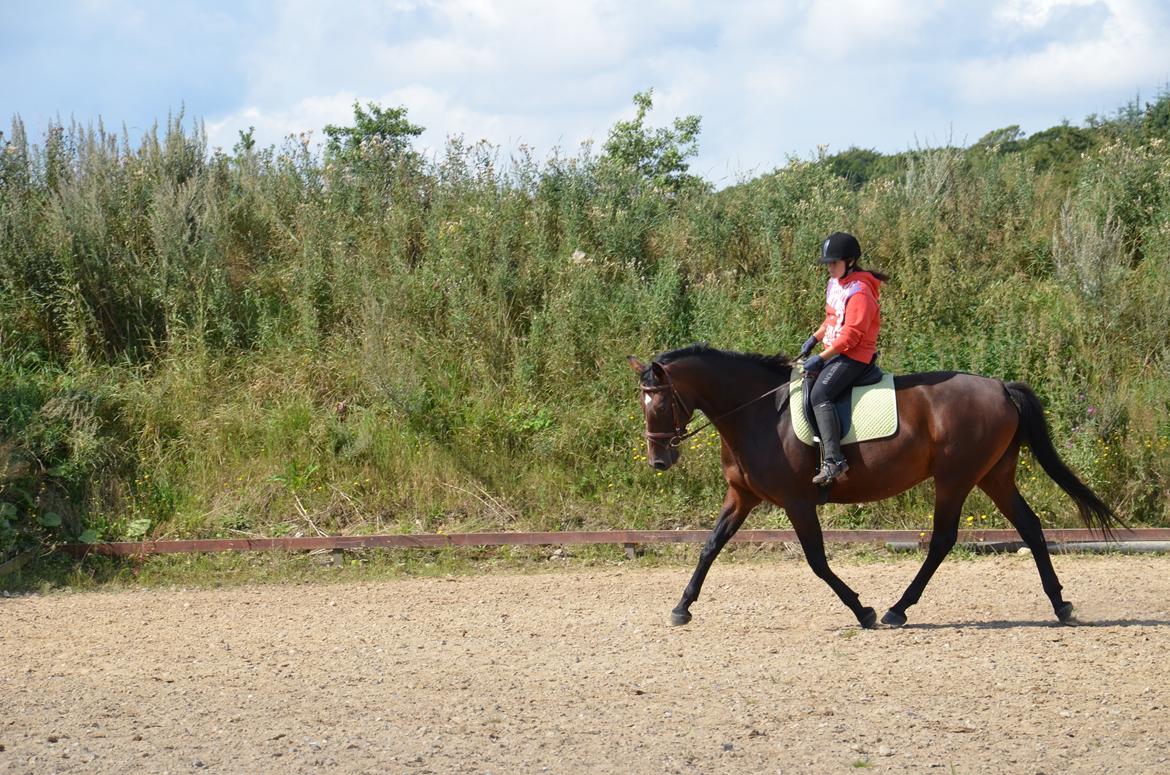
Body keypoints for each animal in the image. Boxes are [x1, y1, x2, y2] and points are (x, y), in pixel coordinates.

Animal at [627, 346, 1118, 632]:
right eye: (644, 402)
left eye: (661, 402)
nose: (659, 461)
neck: (759, 413)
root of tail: (1000, 387)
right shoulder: (741, 497)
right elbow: (709, 546)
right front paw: (682, 607)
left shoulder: (797, 502)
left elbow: (817, 561)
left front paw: (860, 611)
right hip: (993, 476)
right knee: (1031, 528)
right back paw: (1060, 605)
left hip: (956, 478)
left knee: (943, 539)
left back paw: (898, 609)